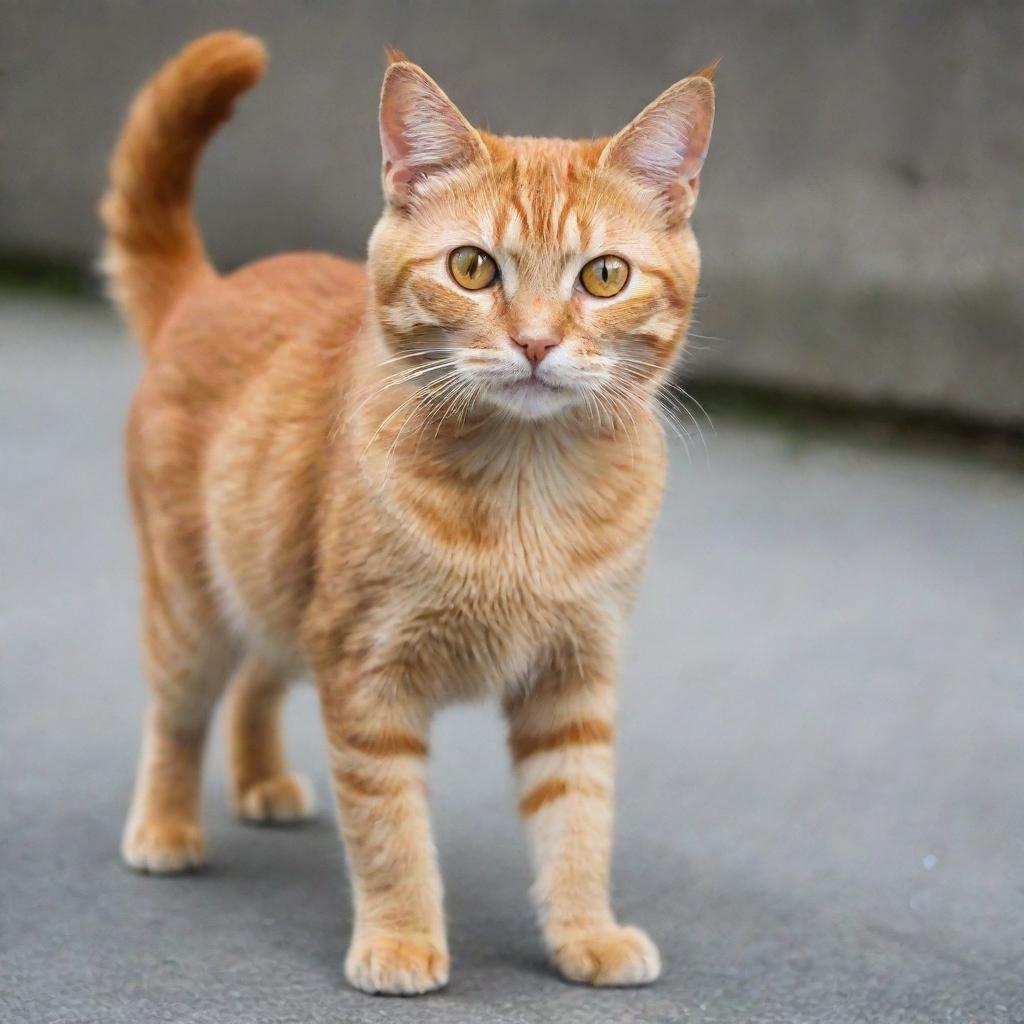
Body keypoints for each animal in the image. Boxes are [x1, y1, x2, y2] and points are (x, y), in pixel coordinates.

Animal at [101, 32, 712, 991]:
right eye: (473, 267)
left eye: (605, 276)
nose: (536, 342)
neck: (525, 488)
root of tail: (210, 289)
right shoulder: (367, 675)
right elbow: (389, 830)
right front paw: (399, 939)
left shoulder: (574, 676)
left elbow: (578, 820)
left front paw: (586, 932)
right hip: (193, 607)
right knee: (179, 711)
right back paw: (166, 826)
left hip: (282, 589)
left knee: (257, 680)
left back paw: (262, 782)